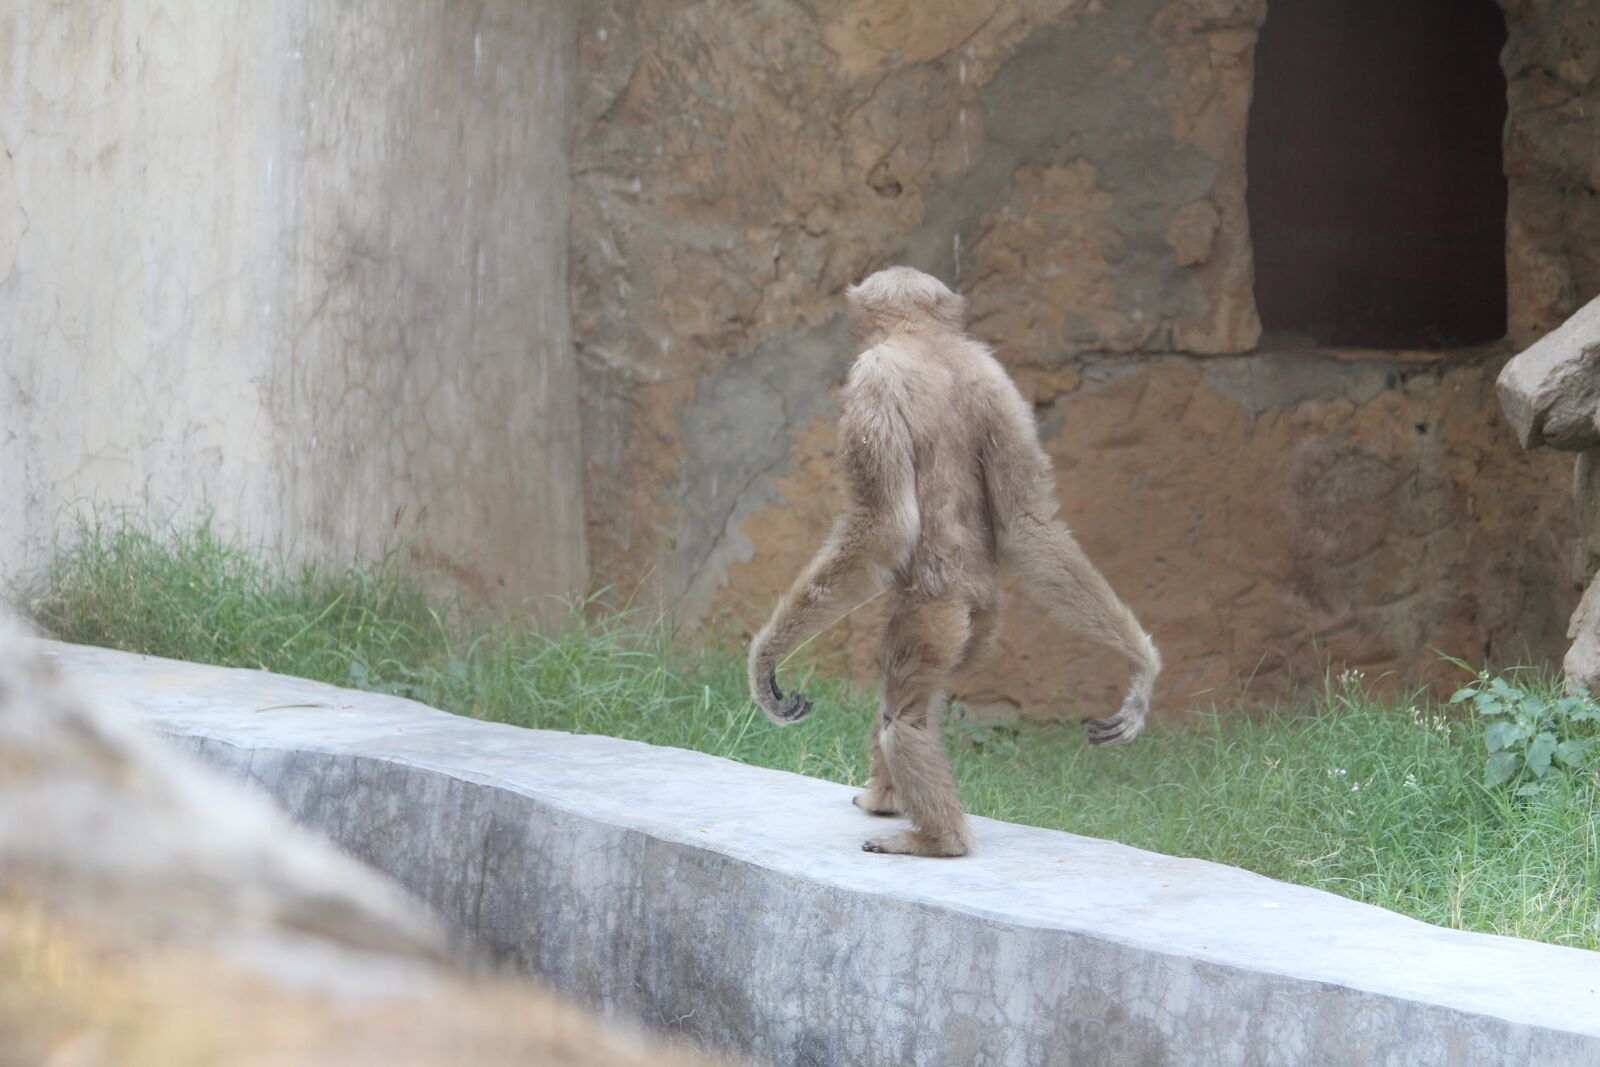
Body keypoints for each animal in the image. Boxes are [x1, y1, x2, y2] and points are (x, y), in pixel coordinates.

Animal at [747, 266, 1161, 858]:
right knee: (928, 695)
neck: (926, 343)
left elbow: (885, 528)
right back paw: (889, 800)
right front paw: (1142, 664)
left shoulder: (873, 379)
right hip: (978, 624)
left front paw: (766, 659)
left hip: (932, 613)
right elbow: (1029, 523)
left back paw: (939, 840)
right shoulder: (1000, 383)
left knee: (903, 718)